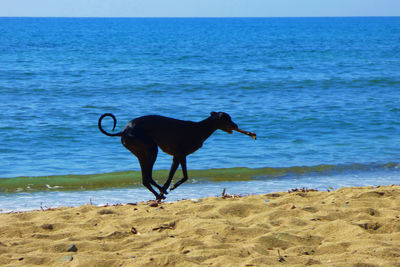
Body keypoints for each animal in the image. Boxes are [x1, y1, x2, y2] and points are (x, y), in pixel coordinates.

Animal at [97, 111, 253, 201]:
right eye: (228, 119)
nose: (236, 125)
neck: (200, 128)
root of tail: (124, 130)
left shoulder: (181, 156)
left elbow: (185, 176)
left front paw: (170, 188)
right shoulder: (178, 156)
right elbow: (171, 178)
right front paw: (168, 188)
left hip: (143, 154)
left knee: (146, 179)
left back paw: (159, 193)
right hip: (151, 150)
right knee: (147, 178)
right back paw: (159, 195)